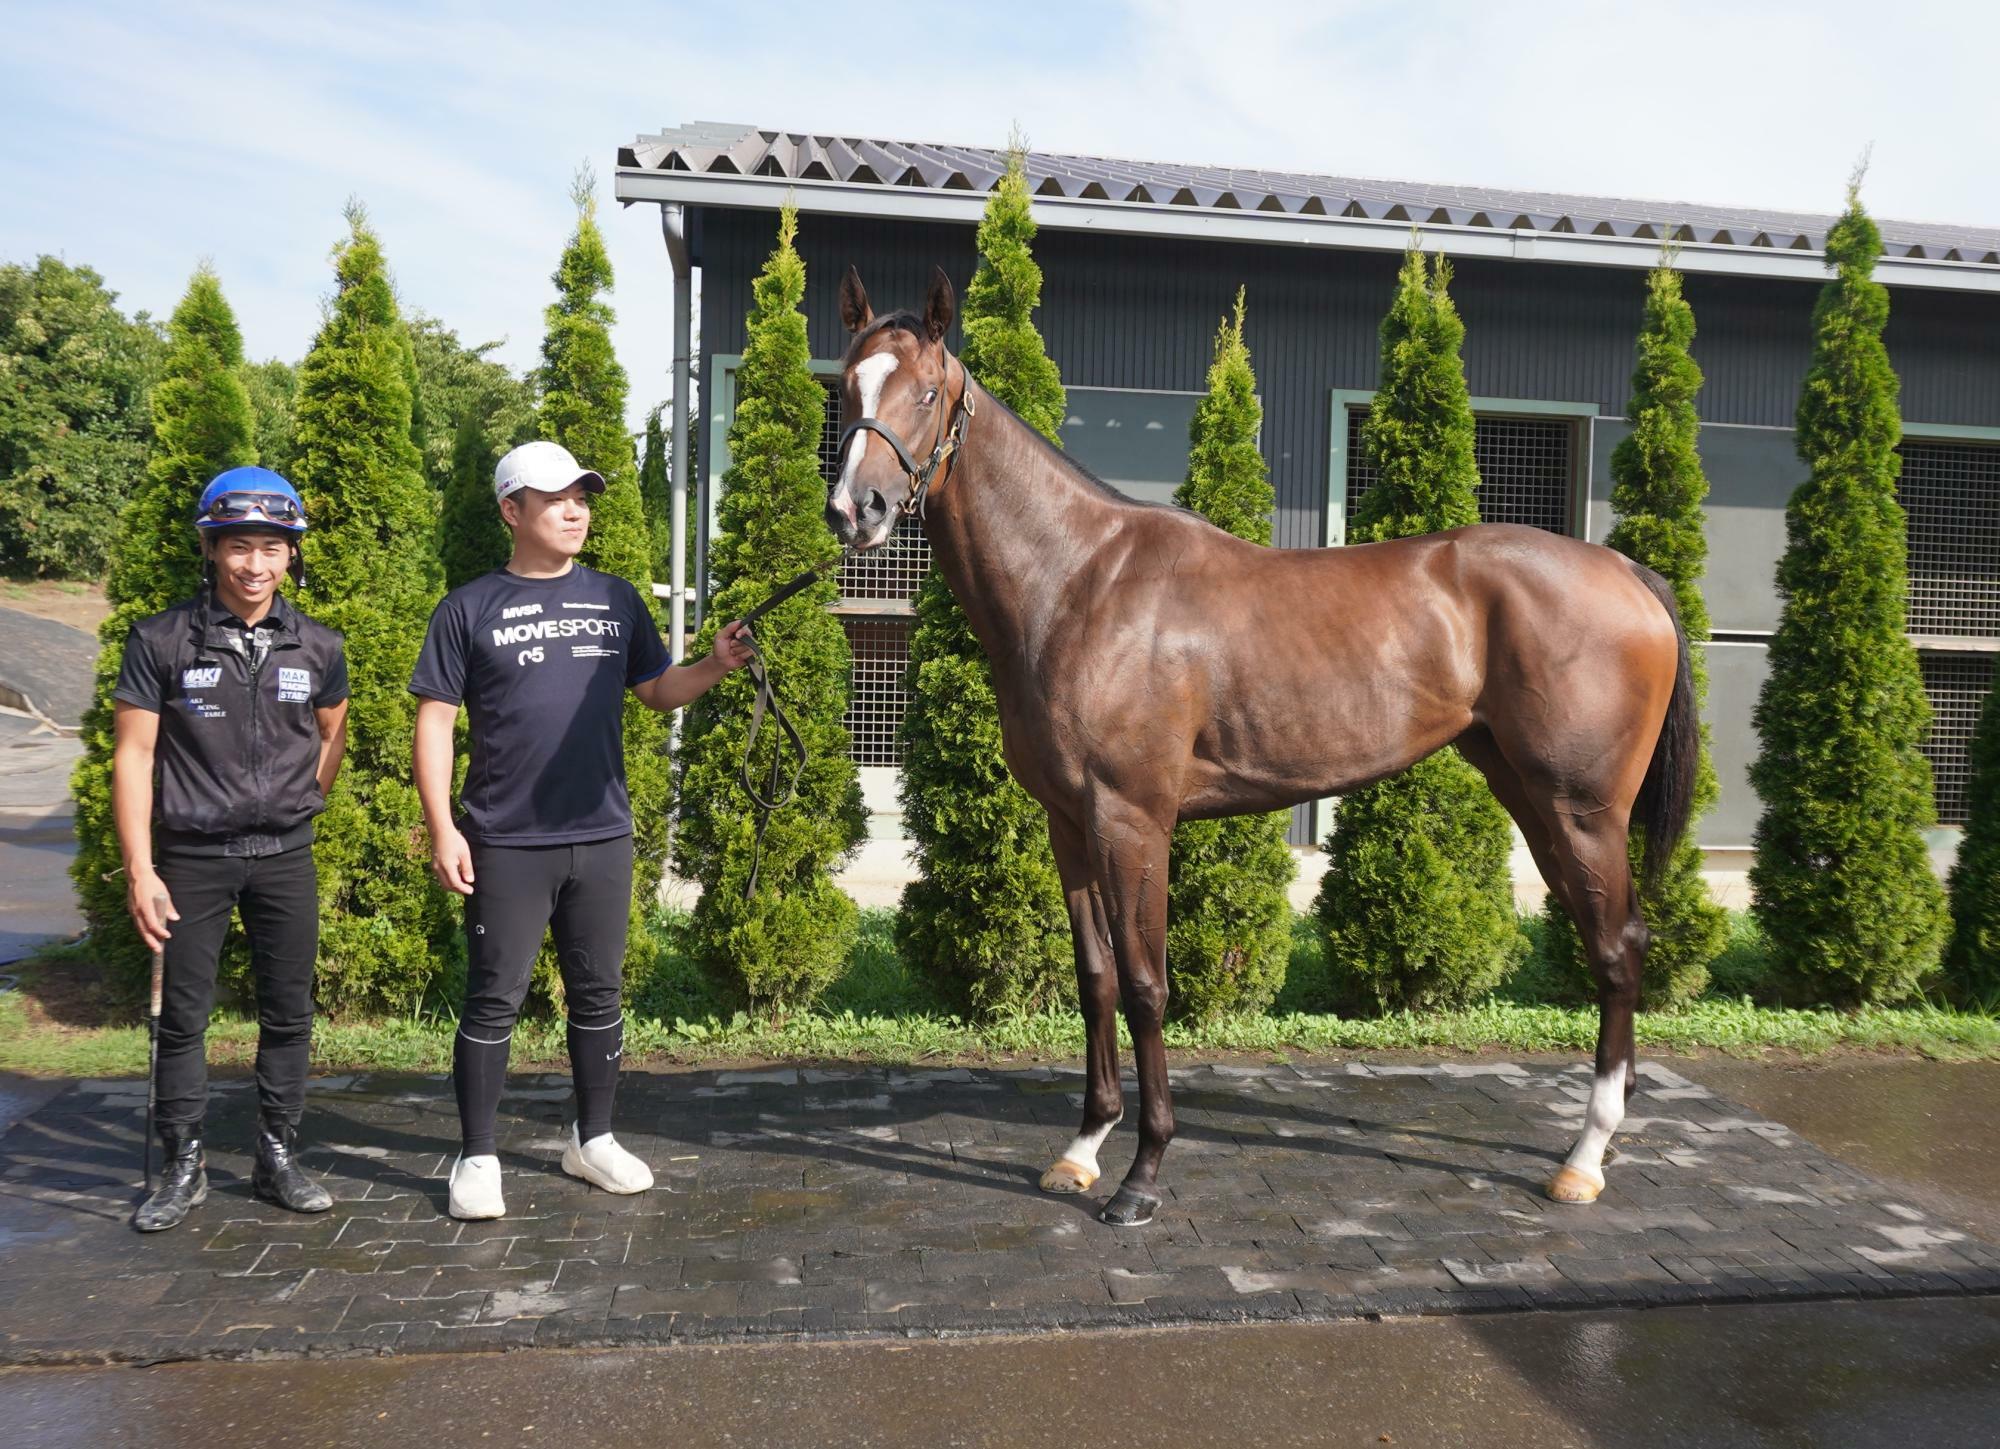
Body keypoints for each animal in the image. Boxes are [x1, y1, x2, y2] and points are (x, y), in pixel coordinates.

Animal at [820, 264, 1696, 1224]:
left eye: (926, 393)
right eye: (848, 387)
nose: (854, 509)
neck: (1079, 580)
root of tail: (1628, 575)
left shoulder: (1134, 820)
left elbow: (1147, 985)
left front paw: (1142, 1174)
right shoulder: (1069, 823)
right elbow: (1095, 979)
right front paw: (1083, 1149)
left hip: (1581, 810)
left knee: (1618, 950)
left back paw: (1585, 1157)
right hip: (1530, 796)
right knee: (1607, 941)